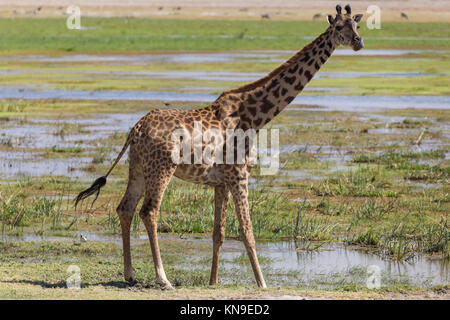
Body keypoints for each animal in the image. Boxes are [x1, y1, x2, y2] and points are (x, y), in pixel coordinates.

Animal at [75, 5, 364, 290]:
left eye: (357, 25)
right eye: (340, 27)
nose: (359, 42)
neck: (255, 116)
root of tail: (136, 128)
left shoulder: (221, 181)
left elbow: (219, 233)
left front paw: (213, 281)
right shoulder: (240, 175)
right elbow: (247, 231)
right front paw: (262, 284)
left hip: (137, 166)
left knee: (125, 208)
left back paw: (130, 275)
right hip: (162, 168)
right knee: (149, 211)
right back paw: (163, 279)